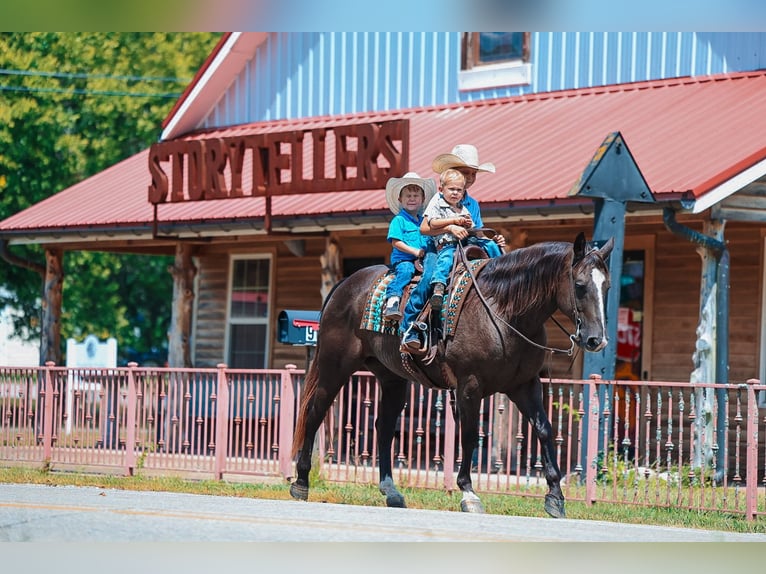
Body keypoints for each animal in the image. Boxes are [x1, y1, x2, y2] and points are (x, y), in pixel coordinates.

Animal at [290, 232, 614, 518]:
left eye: (607, 286)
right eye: (580, 284)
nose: (596, 340)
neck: (502, 311)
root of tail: (344, 284)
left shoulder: (525, 386)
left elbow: (544, 430)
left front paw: (555, 498)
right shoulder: (469, 386)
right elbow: (469, 435)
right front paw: (468, 492)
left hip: (392, 379)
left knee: (383, 427)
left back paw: (391, 491)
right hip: (334, 366)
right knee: (315, 412)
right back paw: (301, 482)